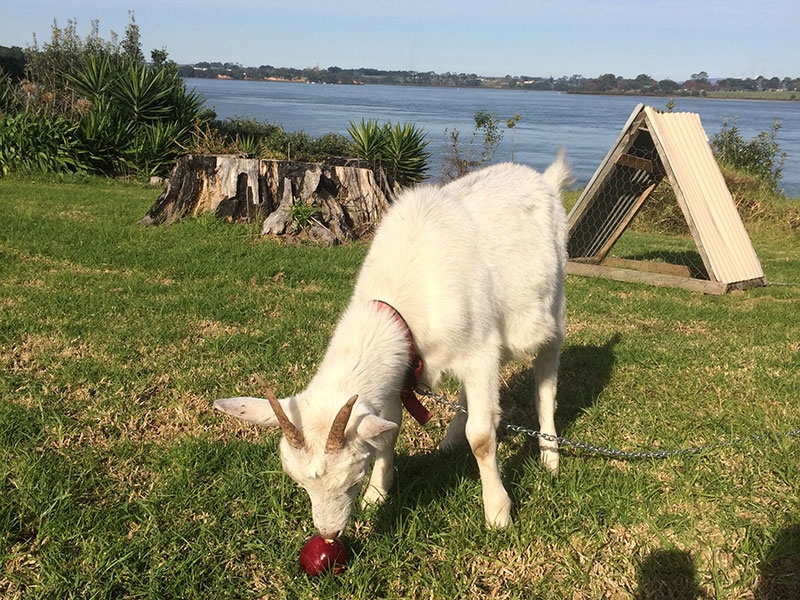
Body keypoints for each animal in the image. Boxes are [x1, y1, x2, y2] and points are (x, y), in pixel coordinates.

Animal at [215, 153, 572, 538]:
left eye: (352, 477)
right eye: (299, 482)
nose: (329, 534)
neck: (406, 291)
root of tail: (544, 179)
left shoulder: (480, 352)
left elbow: (481, 436)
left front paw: (498, 513)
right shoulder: (402, 370)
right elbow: (389, 430)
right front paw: (378, 494)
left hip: (554, 307)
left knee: (545, 383)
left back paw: (550, 457)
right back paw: (449, 440)